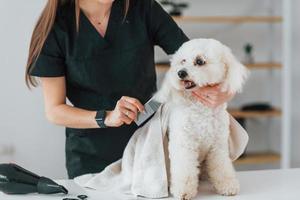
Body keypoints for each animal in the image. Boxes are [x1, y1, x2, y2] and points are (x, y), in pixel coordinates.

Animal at [154, 38, 250, 199]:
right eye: (183, 61)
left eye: (199, 61)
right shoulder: (183, 143)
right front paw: (183, 191)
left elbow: (221, 166)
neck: (201, 110)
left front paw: (227, 185)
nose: (181, 73)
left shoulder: (218, 145)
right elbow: (185, 169)